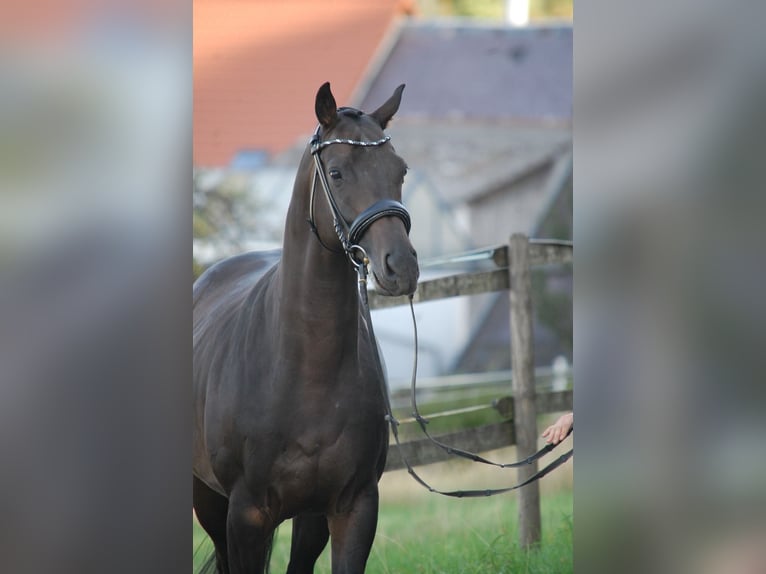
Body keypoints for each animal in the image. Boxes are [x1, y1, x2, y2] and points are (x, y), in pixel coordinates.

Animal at [193, 82, 419, 574]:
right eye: (336, 173)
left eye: (401, 170)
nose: (402, 266)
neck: (305, 369)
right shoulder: (246, 514)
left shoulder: (352, 508)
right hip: (208, 501)